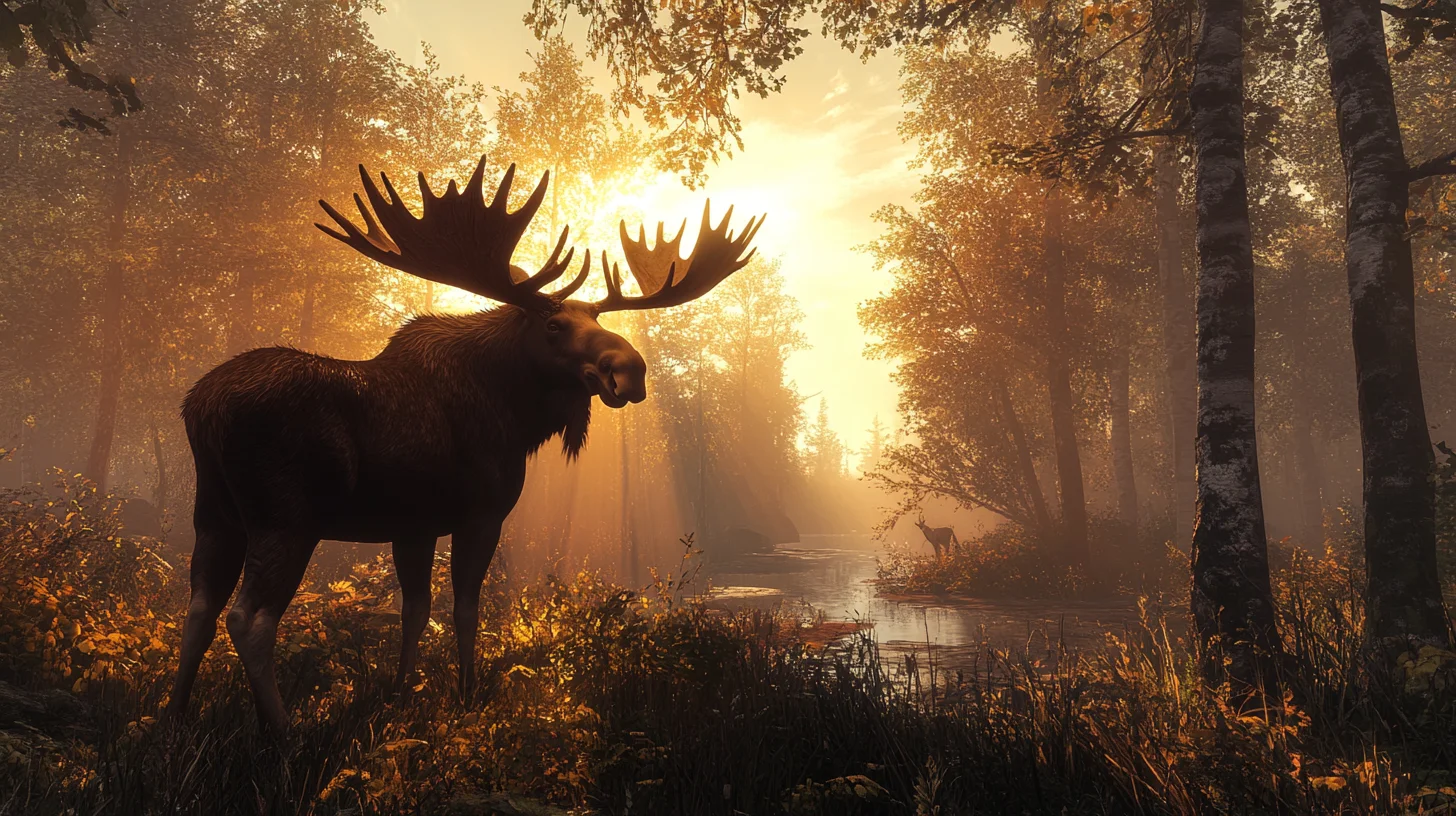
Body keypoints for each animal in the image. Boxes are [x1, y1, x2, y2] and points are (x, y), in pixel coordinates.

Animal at [164, 157, 762, 734]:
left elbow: (415, 609)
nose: (630, 370)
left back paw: (173, 717)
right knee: (249, 618)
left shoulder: (413, 525)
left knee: (198, 608)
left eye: (594, 317)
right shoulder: (482, 513)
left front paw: (400, 696)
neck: (513, 415)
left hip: (214, 513)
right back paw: (283, 731)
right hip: (286, 516)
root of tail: (203, 408)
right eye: (553, 323)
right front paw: (467, 697)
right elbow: (466, 609)